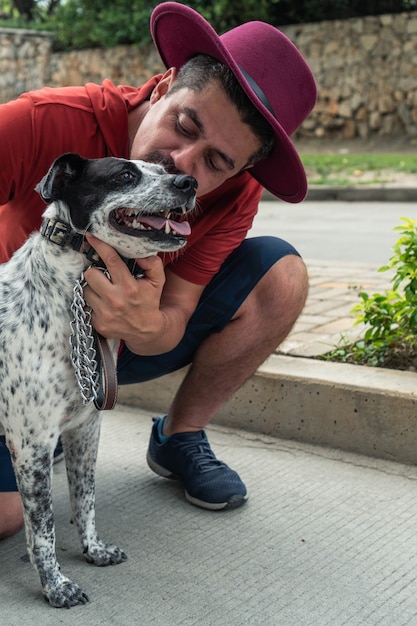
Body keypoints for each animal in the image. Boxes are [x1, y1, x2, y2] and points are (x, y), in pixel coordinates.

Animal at [0, 154, 197, 608]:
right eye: (124, 175)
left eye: (163, 169)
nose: (189, 182)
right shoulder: (32, 445)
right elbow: (43, 530)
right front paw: (55, 587)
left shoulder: (85, 428)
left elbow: (84, 497)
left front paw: (93, 550)